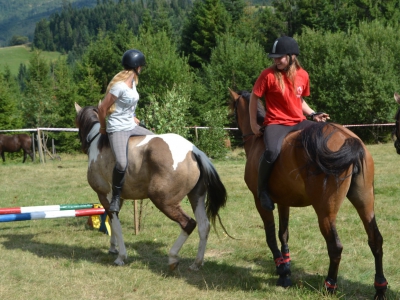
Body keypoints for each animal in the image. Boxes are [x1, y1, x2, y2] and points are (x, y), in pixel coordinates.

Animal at [73, 103, 227, 270]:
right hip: (196, 197)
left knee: (188, 224)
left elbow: (116, 224)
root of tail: (194, 151)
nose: (83, 145)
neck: (97, 141)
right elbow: (113, 222)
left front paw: (121, 256)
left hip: (163, 200)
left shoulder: (104, 196)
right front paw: (113, 248)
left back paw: (173, 258)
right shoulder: (117, 199)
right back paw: (196, 263)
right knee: (204, 226)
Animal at [228, 89, 388, 300]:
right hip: (365, 202)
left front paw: (281, 270)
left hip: (325, 213)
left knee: (335, 247)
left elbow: (270, 236)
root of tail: (349, 138)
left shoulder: (260, 202)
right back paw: (380, 288)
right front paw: (286, 267)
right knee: (375, 240)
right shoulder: (283, 202)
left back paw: (330, 285)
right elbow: (283, 234)